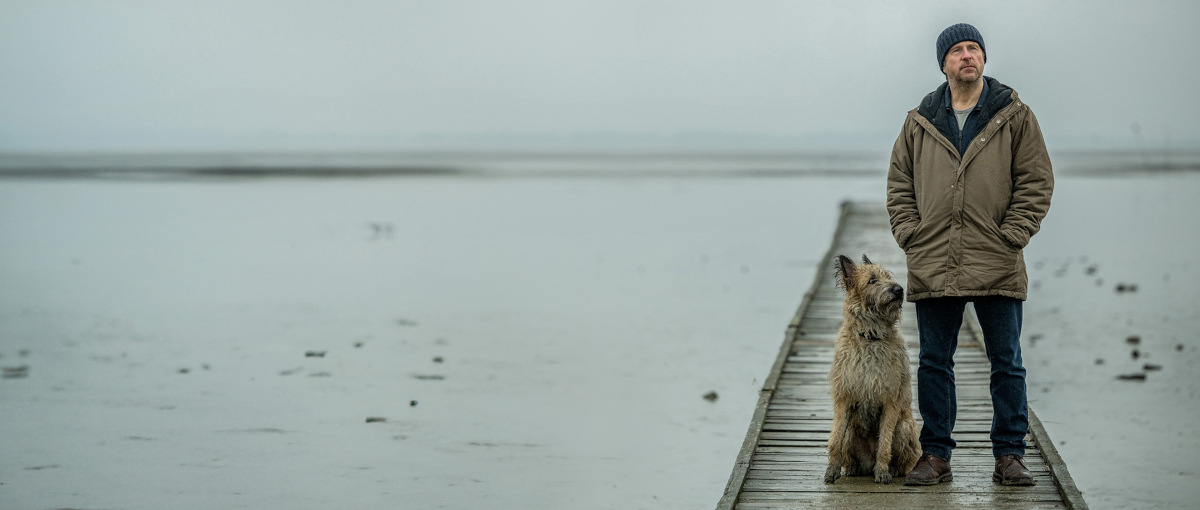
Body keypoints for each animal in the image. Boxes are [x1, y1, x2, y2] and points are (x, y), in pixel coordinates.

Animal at [820, 252, 921, 482]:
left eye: (887, 277)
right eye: (872, 280)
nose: (898, 290)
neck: (871, 337)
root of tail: (868, 460)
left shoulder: (891, 400)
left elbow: (885, 442)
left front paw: (882, 471)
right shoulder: (844, 398)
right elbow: (835, 439)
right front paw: (832, 470)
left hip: (905, 426)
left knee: (900, 457)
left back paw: (891, 469)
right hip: (852, 430)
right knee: (848, 448)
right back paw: (851, 468)